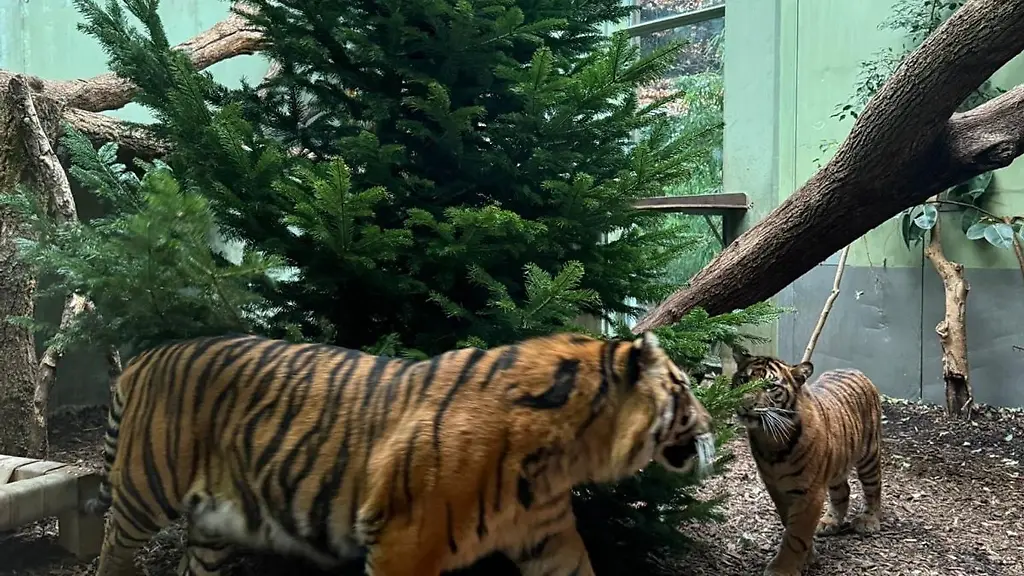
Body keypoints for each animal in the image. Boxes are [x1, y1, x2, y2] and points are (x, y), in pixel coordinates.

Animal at [83, 331, 716, 576]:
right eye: (685, 388)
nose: (713, 424)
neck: (569, 452)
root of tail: (147, 357)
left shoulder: (548, 537)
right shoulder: (404, 541)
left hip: (212, 523)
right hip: (144, 492)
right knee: (112, 548)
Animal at [730, 350, 883, 576]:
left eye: (770, 386)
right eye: (743, 379)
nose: (746, 405)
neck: (770, 439)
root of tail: (853, 369)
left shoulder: (809, 492)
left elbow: (796, 534)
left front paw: (782, 569)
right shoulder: (777, 489)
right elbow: (790, 524)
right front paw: (808, 556)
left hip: (869, 456)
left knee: (874, 488)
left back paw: (869, 520)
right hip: (836, 463)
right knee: (843, 490)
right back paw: (830, 521)